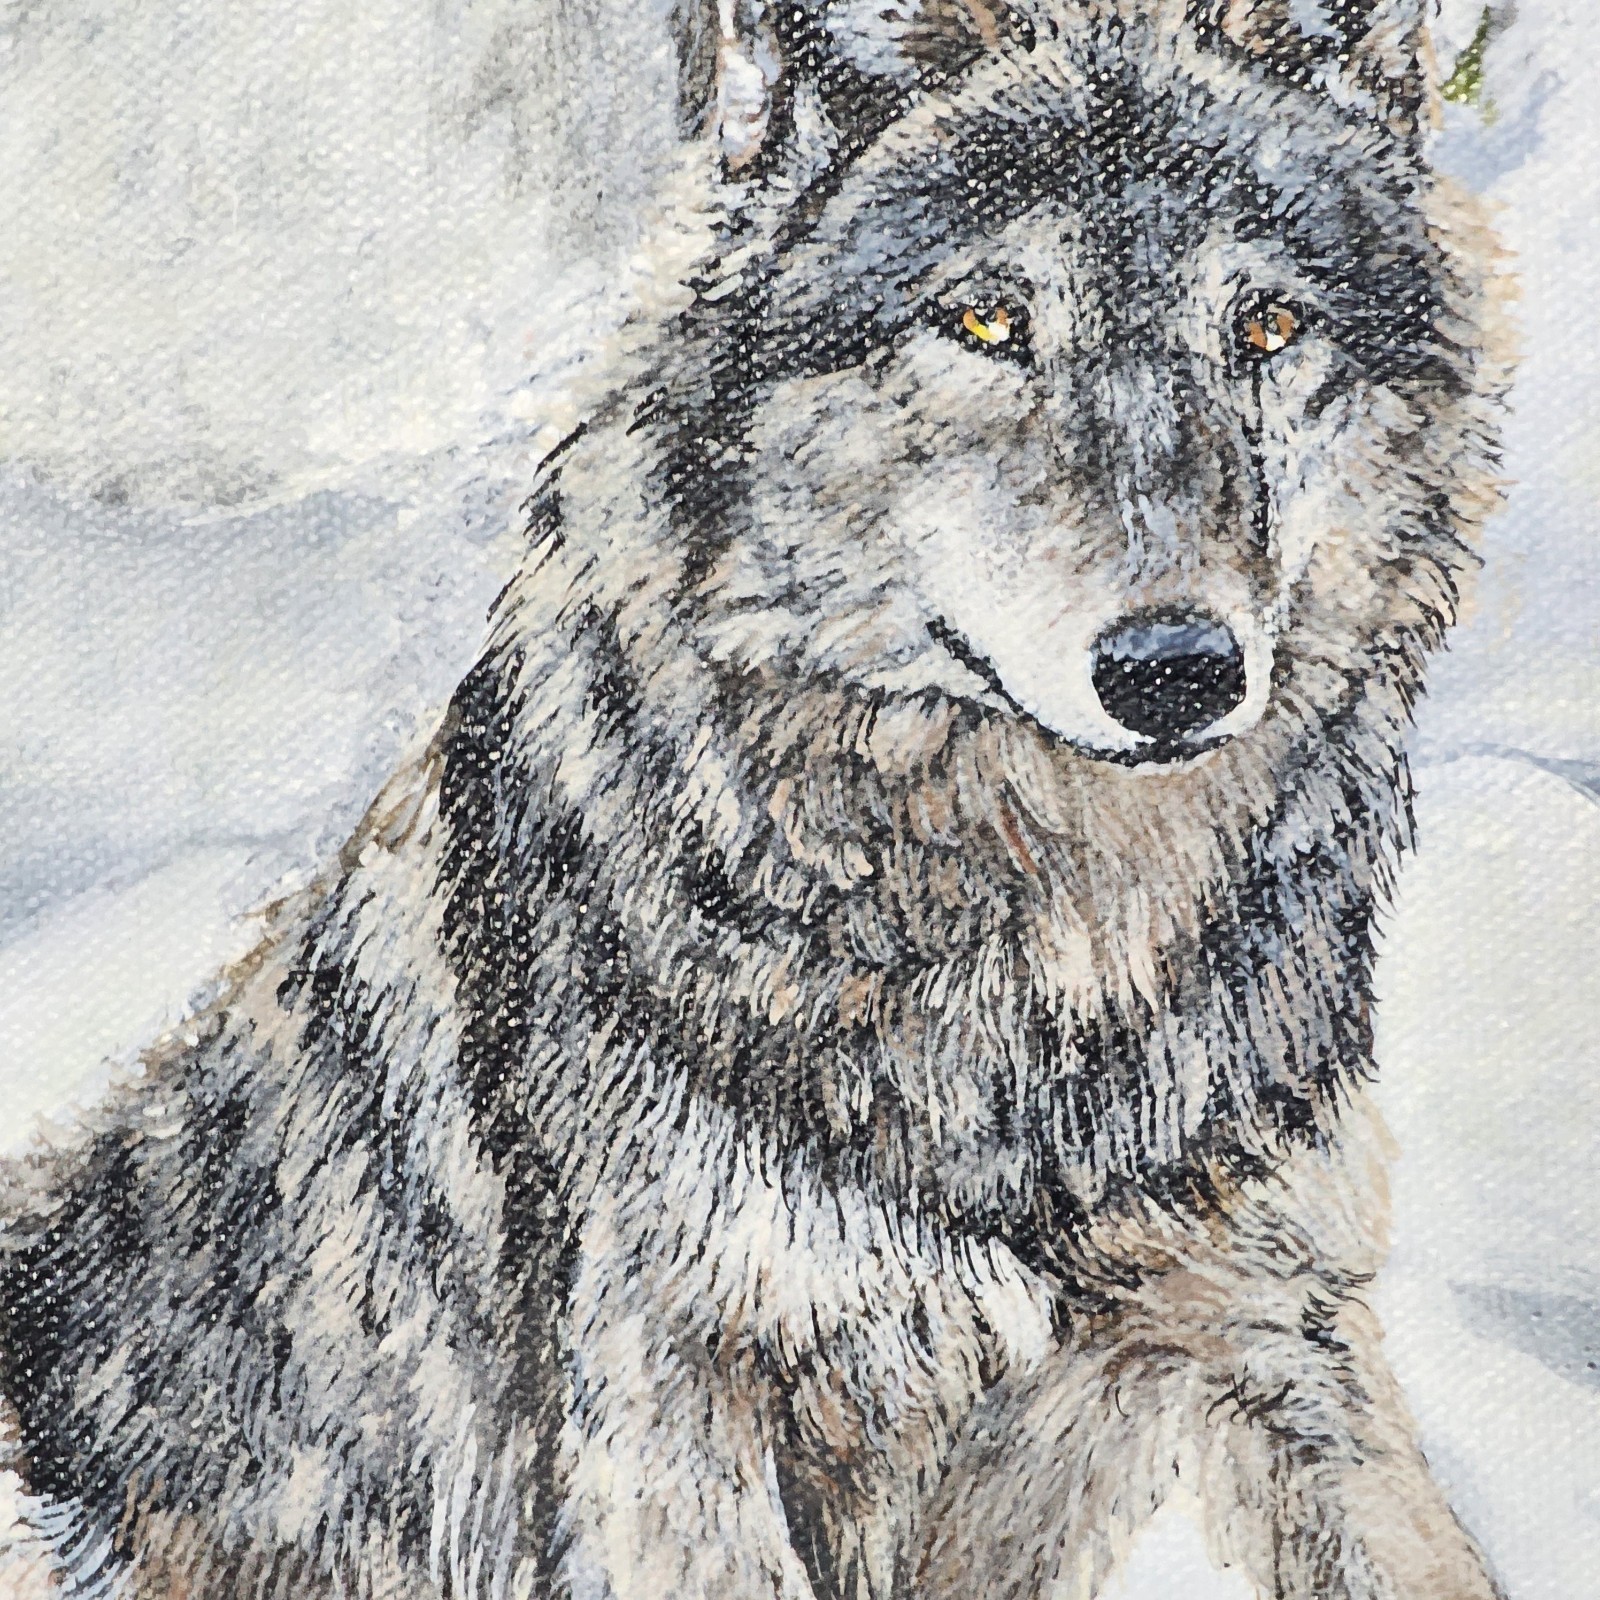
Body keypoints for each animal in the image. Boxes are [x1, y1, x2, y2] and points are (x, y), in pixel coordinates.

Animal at [0, 0, 1509, 1596]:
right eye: (987, 323)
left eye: (1266, 329)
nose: (1177, 669)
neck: (1041, 980)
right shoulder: (672, 1396)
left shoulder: (1282, 1323)